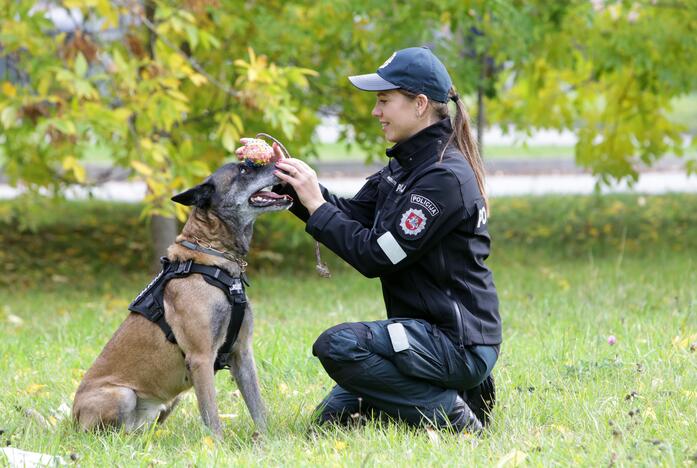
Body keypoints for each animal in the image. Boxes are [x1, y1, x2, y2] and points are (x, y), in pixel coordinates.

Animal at [70, 159, 288, 436]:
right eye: (244, 170)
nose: (280, 162)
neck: (212, 256)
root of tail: (71, 419)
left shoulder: (242, 353)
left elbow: (258, 408)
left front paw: (267, 439)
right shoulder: (200, 358)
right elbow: (212, 416)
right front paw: (217, 444)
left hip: (170, 401)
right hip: (123, 395)